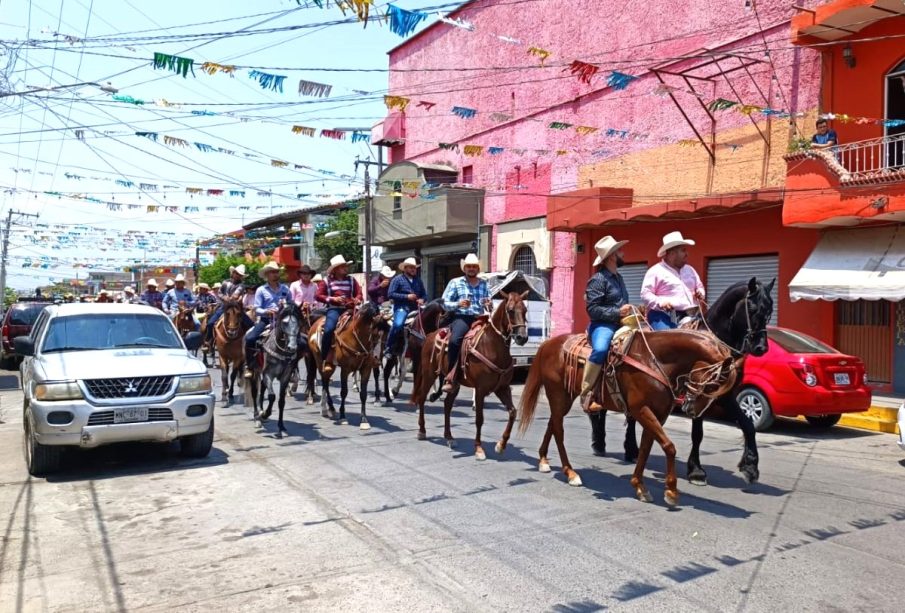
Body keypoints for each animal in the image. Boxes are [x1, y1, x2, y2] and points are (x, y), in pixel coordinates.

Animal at [245, 302, 302, 436]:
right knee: (255, 392)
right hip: (255, 371)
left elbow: (281, 401)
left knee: (262, 388)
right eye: (284, 323)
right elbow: (272, 396)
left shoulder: (285, 376)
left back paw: (261, 412)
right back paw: (257, 417)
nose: (292, 347)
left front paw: (281, 426)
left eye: (298, 322)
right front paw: (265, 414)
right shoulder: (268, 374)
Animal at [412, 292, 528, 460]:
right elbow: (479, 419)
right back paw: (422, 431)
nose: (522, 337)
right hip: (428, 374)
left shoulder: (502, 388)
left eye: (525, 310)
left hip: (455, 384)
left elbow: (513, 412)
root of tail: (430, 336)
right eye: (511, 310)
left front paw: (501, 445)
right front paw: (479, 449)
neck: (493, 346)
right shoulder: (480, 390)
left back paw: (449, 437)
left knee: (447, 405)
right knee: (421, 398)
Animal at [516, 328, 740, 504]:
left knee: (552, 424)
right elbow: (669, 446)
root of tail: (549, 344)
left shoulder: (657, 415)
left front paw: (640, 486)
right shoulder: (641, 410)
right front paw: (671, 491)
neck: (654, 360)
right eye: (712, 386)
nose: (693, 411)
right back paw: (570, 473)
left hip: (564, 398)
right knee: (559, 431)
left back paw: (543, 461)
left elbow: (646, 448)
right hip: (558, 395)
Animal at [588, 276, 772, 482]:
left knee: (631, 415)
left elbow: (748, 425)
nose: (761, 348)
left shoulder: (724, 396)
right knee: (601, 409)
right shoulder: (701, 395)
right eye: (753, 309)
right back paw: (599, 443)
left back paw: (631, 450)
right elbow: (698, 433)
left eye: (770, 311)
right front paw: (696, 470)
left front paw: (750, 467)